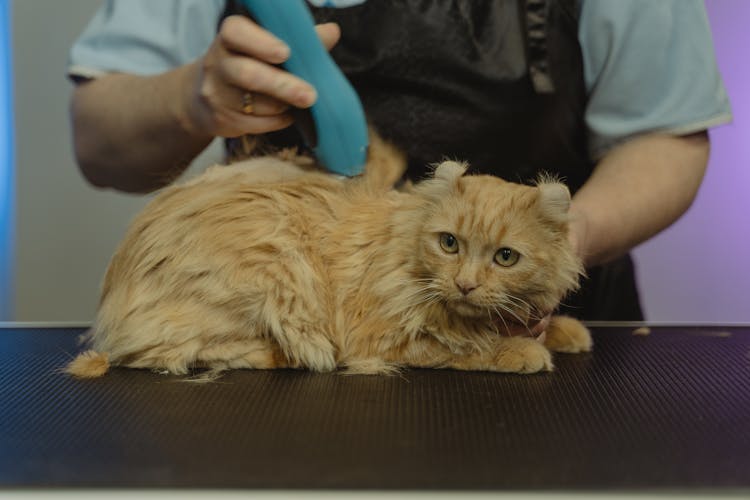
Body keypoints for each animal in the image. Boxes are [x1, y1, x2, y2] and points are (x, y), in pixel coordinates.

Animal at [66, 137, 592, 378]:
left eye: (505, 257)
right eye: (450, 244)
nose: (465, 284)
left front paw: (566, 332)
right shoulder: (385, 339)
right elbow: (465, 346)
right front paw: (521, 351)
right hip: (277, 275)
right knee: (167, 353)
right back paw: (278, 355)